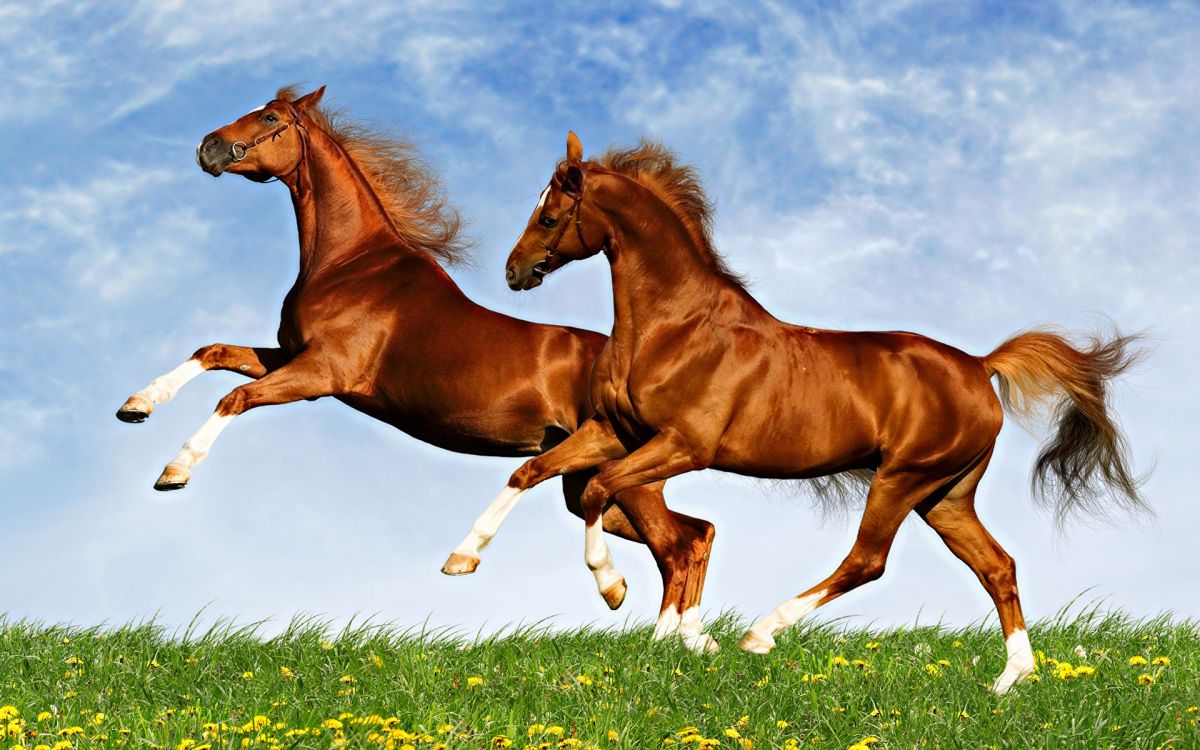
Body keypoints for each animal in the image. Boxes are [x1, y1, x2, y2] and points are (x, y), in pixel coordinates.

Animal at [112, 90, 715, 648]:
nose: (207, 147)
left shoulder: (320, 376)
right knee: (696, 533)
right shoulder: (290, 356)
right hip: (589, 482)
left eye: (269, 117)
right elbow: (211, 353)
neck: (351, 264)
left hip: (624, 480)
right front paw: (136, 405)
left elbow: (233, 399)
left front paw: (175, 471)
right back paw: (688, 638)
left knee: (680, 546)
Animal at [456, 131, 1142, 691]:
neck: (673, 327)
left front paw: (613, 588)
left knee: (868, 561)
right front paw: (462, 559)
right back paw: (1011, 680)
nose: (515, 271)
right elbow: (529, 471)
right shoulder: (613, 432)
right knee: (997, 566)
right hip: (945, 494)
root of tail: (979, 365)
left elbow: (601, 491)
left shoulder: (682, 446)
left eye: (549, 214)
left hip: (902, 478)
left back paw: (761, 632)